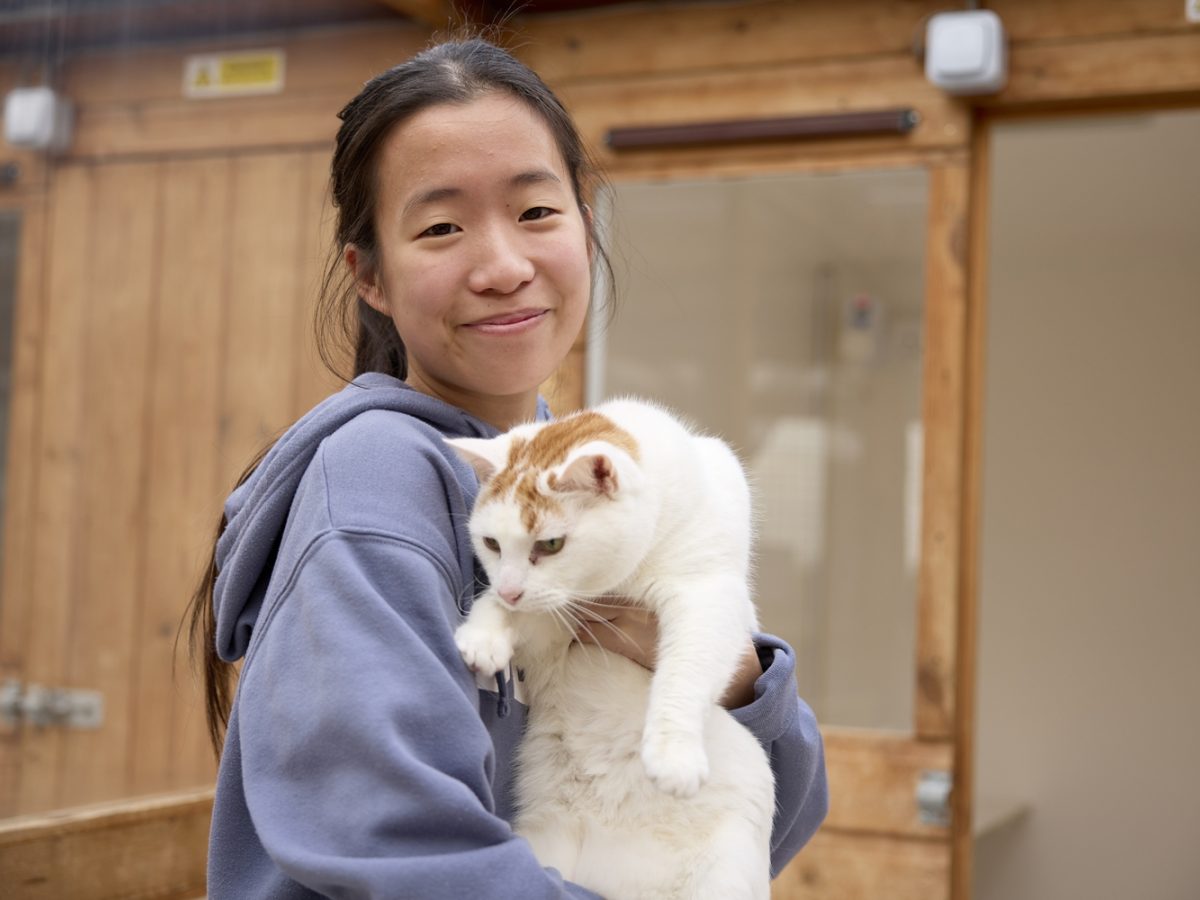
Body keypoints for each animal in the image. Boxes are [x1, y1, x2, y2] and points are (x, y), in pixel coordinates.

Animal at [446, 400, 772, 900]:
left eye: (551, 544)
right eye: (491, 544)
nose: (510, 589)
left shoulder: (710, 595)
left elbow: (685, 670)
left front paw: (672, 755)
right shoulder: (554, 625)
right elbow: (507, 611)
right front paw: (483, 635)